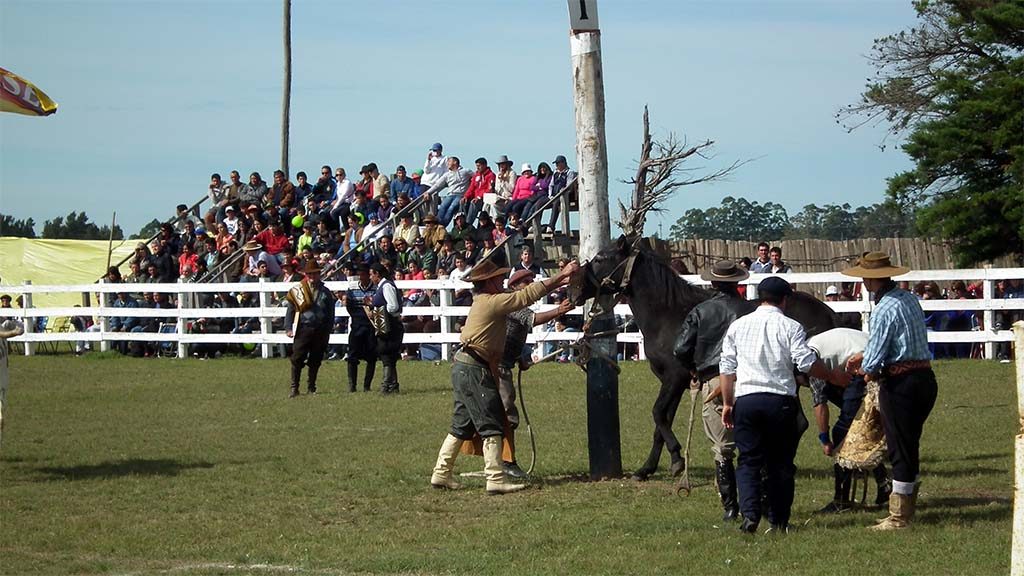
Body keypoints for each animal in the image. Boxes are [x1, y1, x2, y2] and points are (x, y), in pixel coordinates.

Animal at [573, 235, 843, 477]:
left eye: (600, 258)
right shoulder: (676, 382)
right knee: (800, 423)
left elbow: (658, 413)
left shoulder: (674, 378)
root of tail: (829, 314)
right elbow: (662, 422)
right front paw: (649, 468)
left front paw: (676, 457)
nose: (574, 288)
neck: (669, 314)